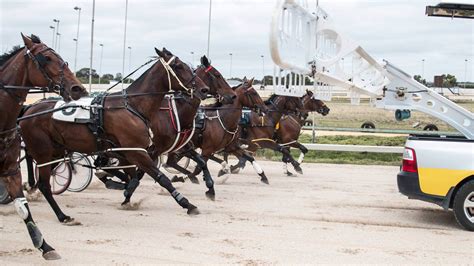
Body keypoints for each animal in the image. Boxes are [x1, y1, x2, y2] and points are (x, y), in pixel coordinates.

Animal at [19, 47, 209, 224]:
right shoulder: (136, 151)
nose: (204, 89)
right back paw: (61, 215)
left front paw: (125, 192)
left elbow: (135, 177)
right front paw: (187, 204)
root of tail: (29, 109)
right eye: (179, 66)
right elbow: (161, 178)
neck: (133, 106)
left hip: (57, 150)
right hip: (43, 151)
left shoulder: (132, 151)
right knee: (44, 184)